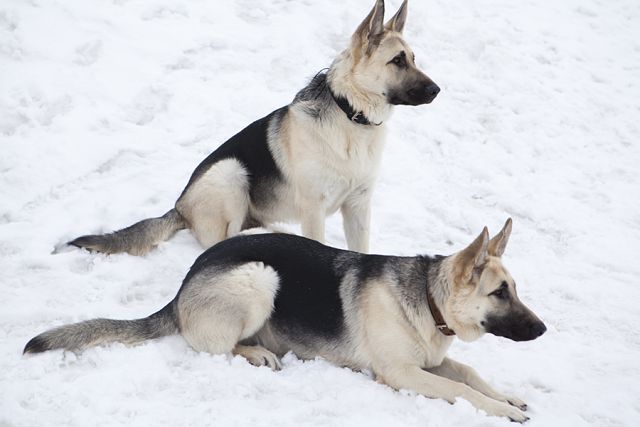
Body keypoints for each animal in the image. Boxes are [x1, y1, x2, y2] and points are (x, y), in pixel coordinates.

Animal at [25, 219, 544, 422]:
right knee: (214, 347)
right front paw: (501, 410)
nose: (542, 330)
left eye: (515, 289)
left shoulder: (430, 361)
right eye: (499, 292)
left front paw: (507, 397)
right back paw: (257, 353)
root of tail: (182, 286)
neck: (428, 300)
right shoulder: (402, 373)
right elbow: (461, 389)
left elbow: (470, 373)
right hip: (260, 277)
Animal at [70, 0, 440, 256]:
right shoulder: (313, 209)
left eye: (414, 59)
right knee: (220, 240)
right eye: (397, 61)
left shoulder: (359, 207)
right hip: (231, 173)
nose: (437, 90)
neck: (350, 114)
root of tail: (179, 206)